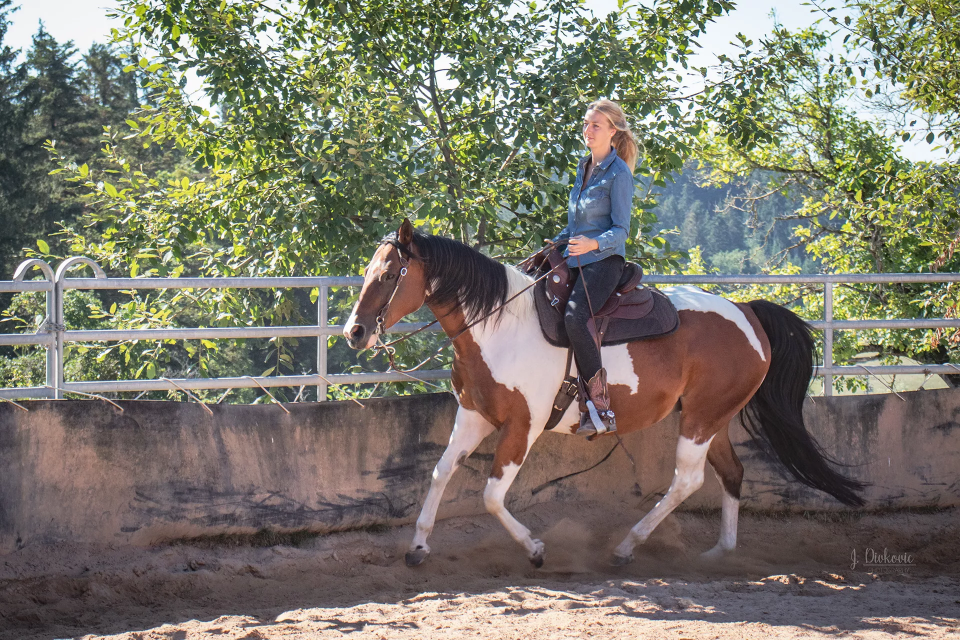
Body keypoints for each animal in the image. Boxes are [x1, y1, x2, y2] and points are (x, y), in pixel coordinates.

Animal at [344, 219, 864, 564]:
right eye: (367, 270)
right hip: (711, 417)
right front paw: (418, 545)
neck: (499, 325)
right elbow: (440, 472)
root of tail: (748, 312)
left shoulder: (523, 427)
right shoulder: (473, 416)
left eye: (390, 275)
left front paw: (535, 548)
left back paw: (628, 546)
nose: (355, 332)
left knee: (687, 480)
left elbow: (491, 495)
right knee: (730, 473)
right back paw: (720, 552)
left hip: (701, 420)